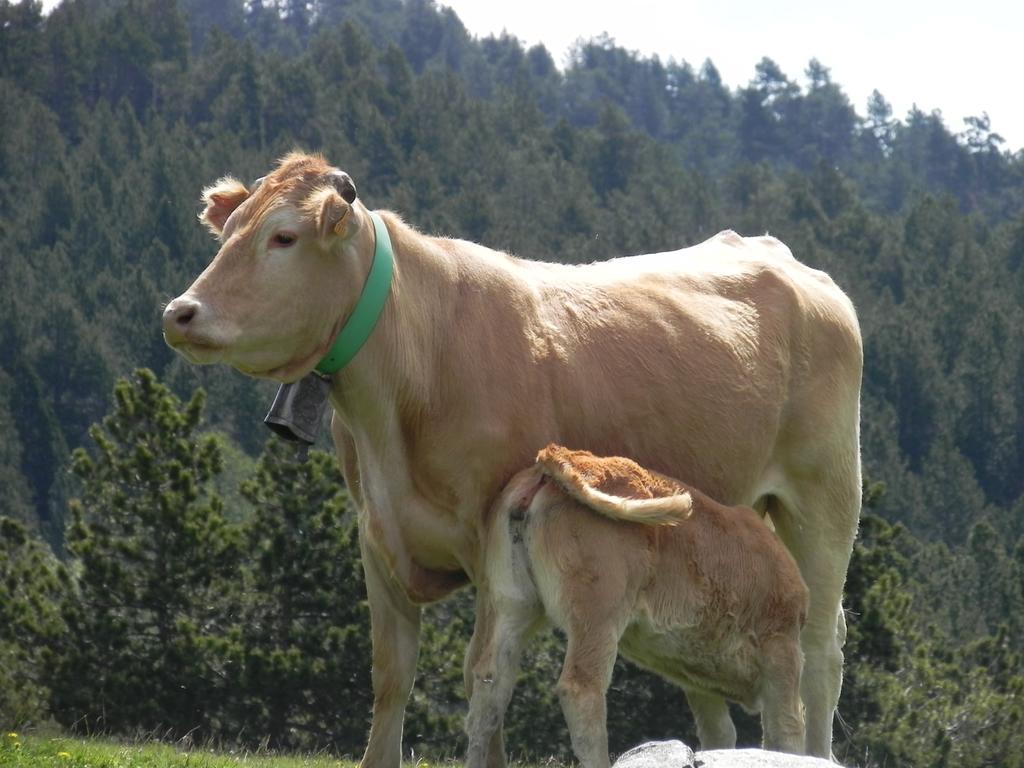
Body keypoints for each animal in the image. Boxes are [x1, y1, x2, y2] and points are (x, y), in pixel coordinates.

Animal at [468, 444, 811, 768]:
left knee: (488, 688)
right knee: (580, 688)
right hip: (598, 614)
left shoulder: (700, 675)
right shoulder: (781, 648)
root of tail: (556, 456)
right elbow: (787, 729)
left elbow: (719, 732)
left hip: (512, 605)